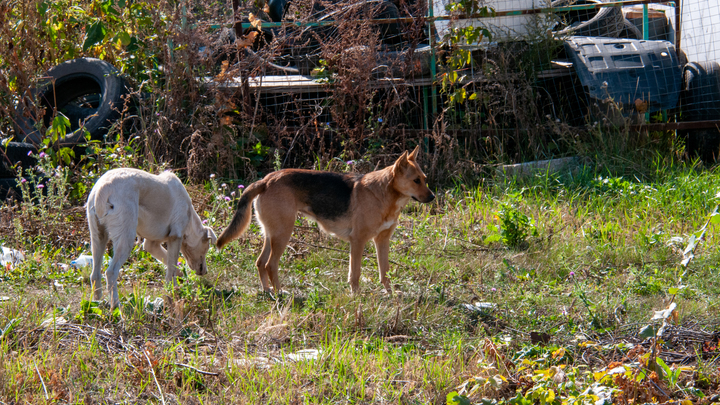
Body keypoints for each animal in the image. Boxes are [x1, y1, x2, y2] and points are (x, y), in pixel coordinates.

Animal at [87, 167, 217, 306]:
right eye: (207, 248)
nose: (205, 272)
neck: (190, 217)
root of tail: (102, 188)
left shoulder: (151, 245)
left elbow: (170, 264)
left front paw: (179, 276)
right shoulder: (175, 237)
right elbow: (171, 269)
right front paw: (173, 293)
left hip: (98, 237)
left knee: (95, 274)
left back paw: (97, 302)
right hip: (126, 238)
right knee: (111, 272)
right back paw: (116, 306)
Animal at [217, 145, 436, 294]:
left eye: (425, 179)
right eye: (416, 181)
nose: (433, 197)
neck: (385, 194)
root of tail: (265, 180)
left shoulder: (382, 241)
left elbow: (385, 272)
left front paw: (390, 295)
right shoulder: (358, 241)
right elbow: (355, 274)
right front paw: (357, 297)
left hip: (271, 234)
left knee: (260, 263)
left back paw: (267, 291)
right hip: (282, 234)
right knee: (271, 265)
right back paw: (280, 293)